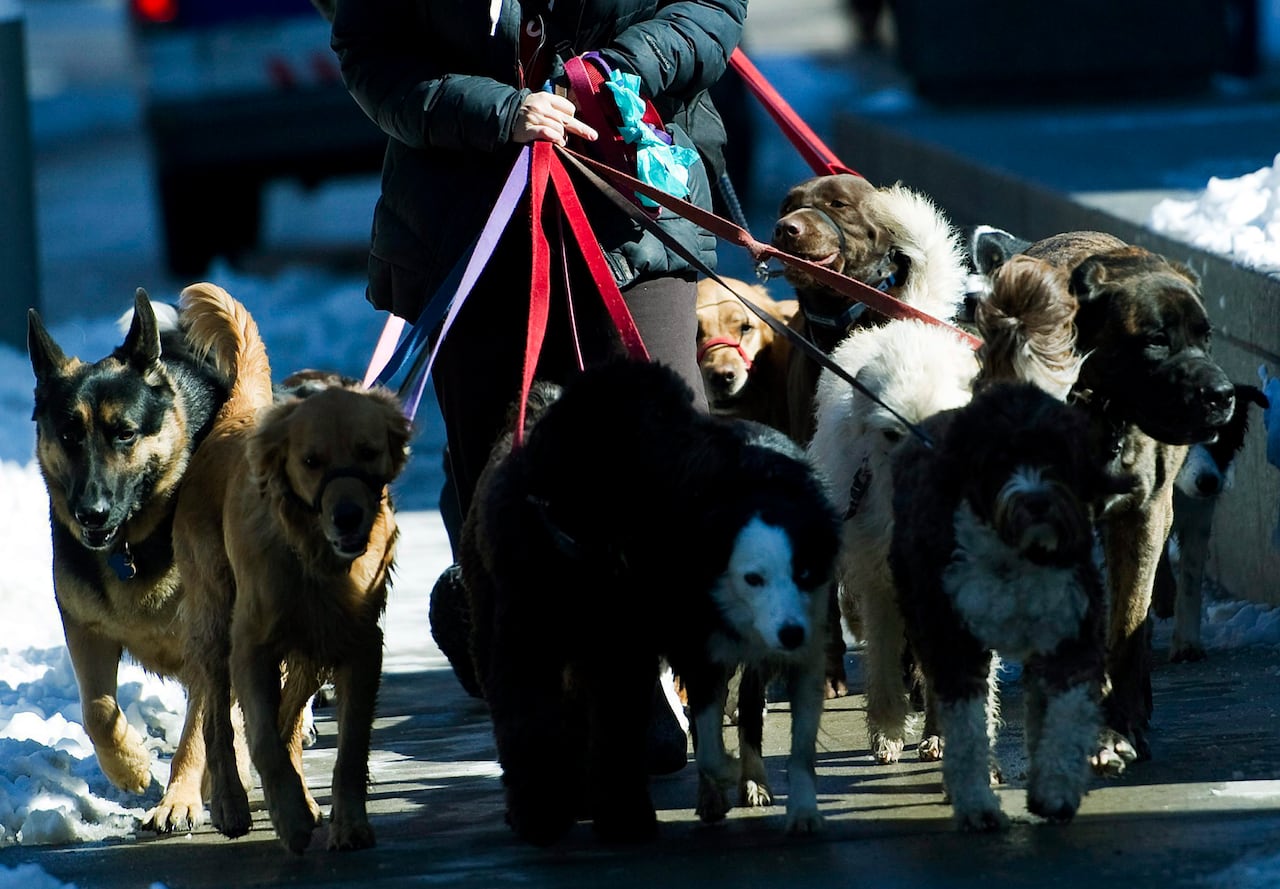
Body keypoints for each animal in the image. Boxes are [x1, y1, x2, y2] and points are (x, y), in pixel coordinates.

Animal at [175, 286, 409, 854]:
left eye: (368, 451)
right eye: (310, 460)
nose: (347, 516)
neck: (313, 555)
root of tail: (240, 407)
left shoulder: (359, 644)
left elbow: (349, 746)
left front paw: (348, 822)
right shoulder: (252, 644)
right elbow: (257, 734)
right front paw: (290, 818)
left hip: (308, 651)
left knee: (284, 717)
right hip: (215, 614)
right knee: (217, 717)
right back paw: (233, 805)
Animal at [460, 358, 839, 844]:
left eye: (683, 405)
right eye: (653, 421)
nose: (727, 445)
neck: (585, 550)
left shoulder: (619, 655)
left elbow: (615, 731)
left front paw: (623, 815)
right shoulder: (526, 652)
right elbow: (530, 727)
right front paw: (540, 814)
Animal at [885, 383, 1136, 833]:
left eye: (1056, 456)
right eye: (998, 461)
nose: (1036, 502)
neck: (1017, 556)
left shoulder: (1069, 631)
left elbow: (1065, 713)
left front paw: (1054, 790)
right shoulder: (956, 642)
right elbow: (968, 726)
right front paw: (978, 805)